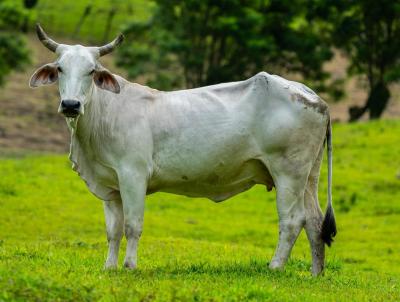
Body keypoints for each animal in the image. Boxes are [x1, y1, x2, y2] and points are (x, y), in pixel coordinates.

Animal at [28, 24, 334, 274]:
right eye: (59, 69)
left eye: (91, 71)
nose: (71, 105)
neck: (104, 115)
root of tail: (312, 95)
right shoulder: (110, 185)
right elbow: (113, 231)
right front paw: (109, 267)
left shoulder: (133, 175)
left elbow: (132, 225)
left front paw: (129, 266)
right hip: (308, 176)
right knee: (314, 221)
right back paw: (315, 273)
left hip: (288, 173)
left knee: (292, 220)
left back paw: (275, 267)